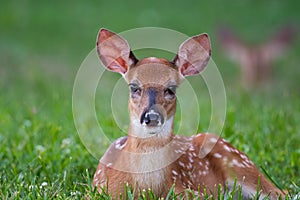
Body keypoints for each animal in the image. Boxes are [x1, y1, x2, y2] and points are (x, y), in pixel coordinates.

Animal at [92, 27, 288, 198]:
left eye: (171, 89)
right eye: (134, 87)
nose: (152, 117)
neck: (148, 187)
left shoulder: (190, 191)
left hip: (242, 166)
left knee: (282, 192)